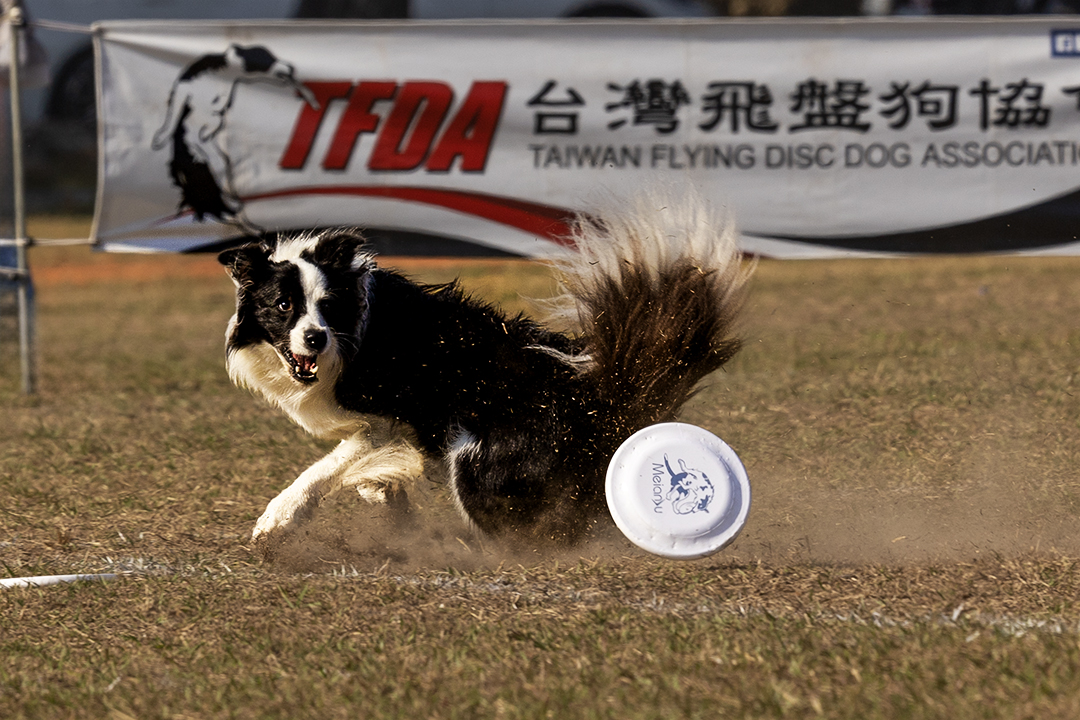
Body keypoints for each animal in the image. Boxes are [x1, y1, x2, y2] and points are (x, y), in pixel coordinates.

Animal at [218, 191, 751, 548]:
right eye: (283, 305)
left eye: (327, 307)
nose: (315, 338)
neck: (352, 337)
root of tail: (602, 402)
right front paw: (382, 489)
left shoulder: (391, 414)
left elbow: (326, 468)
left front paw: (277, 519)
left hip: (477, 461)